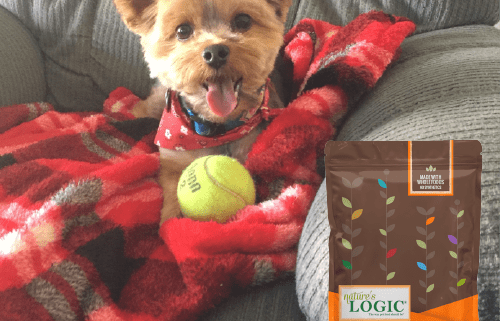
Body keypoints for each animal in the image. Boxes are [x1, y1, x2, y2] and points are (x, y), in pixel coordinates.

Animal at [114, 0, 292, 222]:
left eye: (243, 21)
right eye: (182, 31)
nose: (215, 53)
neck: (216, 129)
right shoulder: (172, 162)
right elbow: (172, 200)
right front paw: (171, 222)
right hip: (156, 103)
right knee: (142, 107)